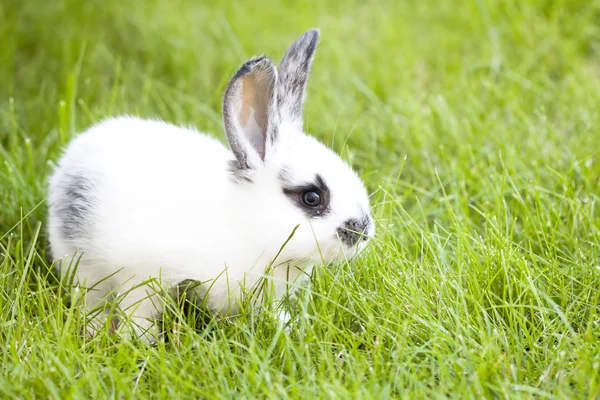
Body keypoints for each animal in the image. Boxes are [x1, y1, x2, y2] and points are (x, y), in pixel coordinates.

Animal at [48, 28, 376, 340]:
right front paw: (141, 342)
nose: (363, 231)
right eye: (311, 197)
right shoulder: (141, 276)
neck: (247, 228)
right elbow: (138, 313)